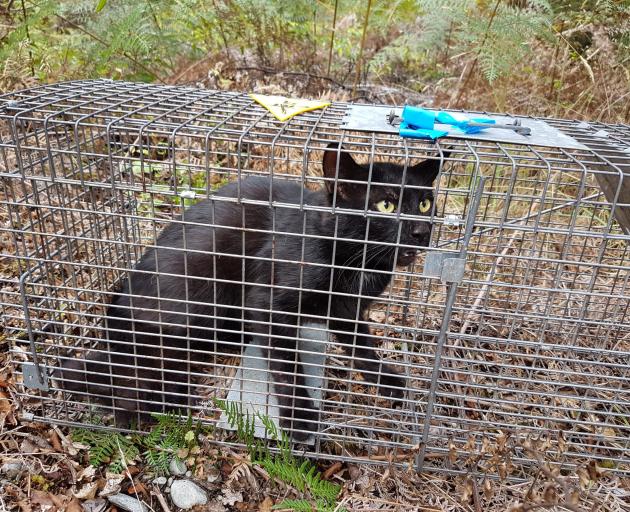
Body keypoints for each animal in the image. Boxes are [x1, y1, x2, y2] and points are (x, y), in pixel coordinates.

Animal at [59, 143, 444, 440]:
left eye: (425, 203)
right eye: (385, 205)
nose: (421, 231)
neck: (357, 260)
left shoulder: (347, 311)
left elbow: (363, 348)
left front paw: (387, 381)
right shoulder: (267, 303)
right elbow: (288, 367)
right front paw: (300, 419)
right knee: (107, 379)